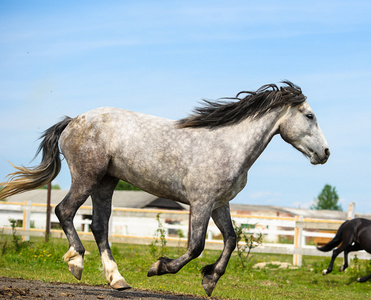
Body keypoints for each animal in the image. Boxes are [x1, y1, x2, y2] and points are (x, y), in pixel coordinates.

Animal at [0, 81, 332, 296]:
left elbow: (231, 240)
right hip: (87, 177)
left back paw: (117, 279)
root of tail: (72, 121)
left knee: (99, 226)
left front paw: (210, 280)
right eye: (309, 116)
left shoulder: (219, 204)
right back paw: (76, 262)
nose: (326, 153)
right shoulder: (201, 202)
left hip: (105, 182)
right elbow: (196, 245)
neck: (229, 146)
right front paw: (159, 267)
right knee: (64, 211)